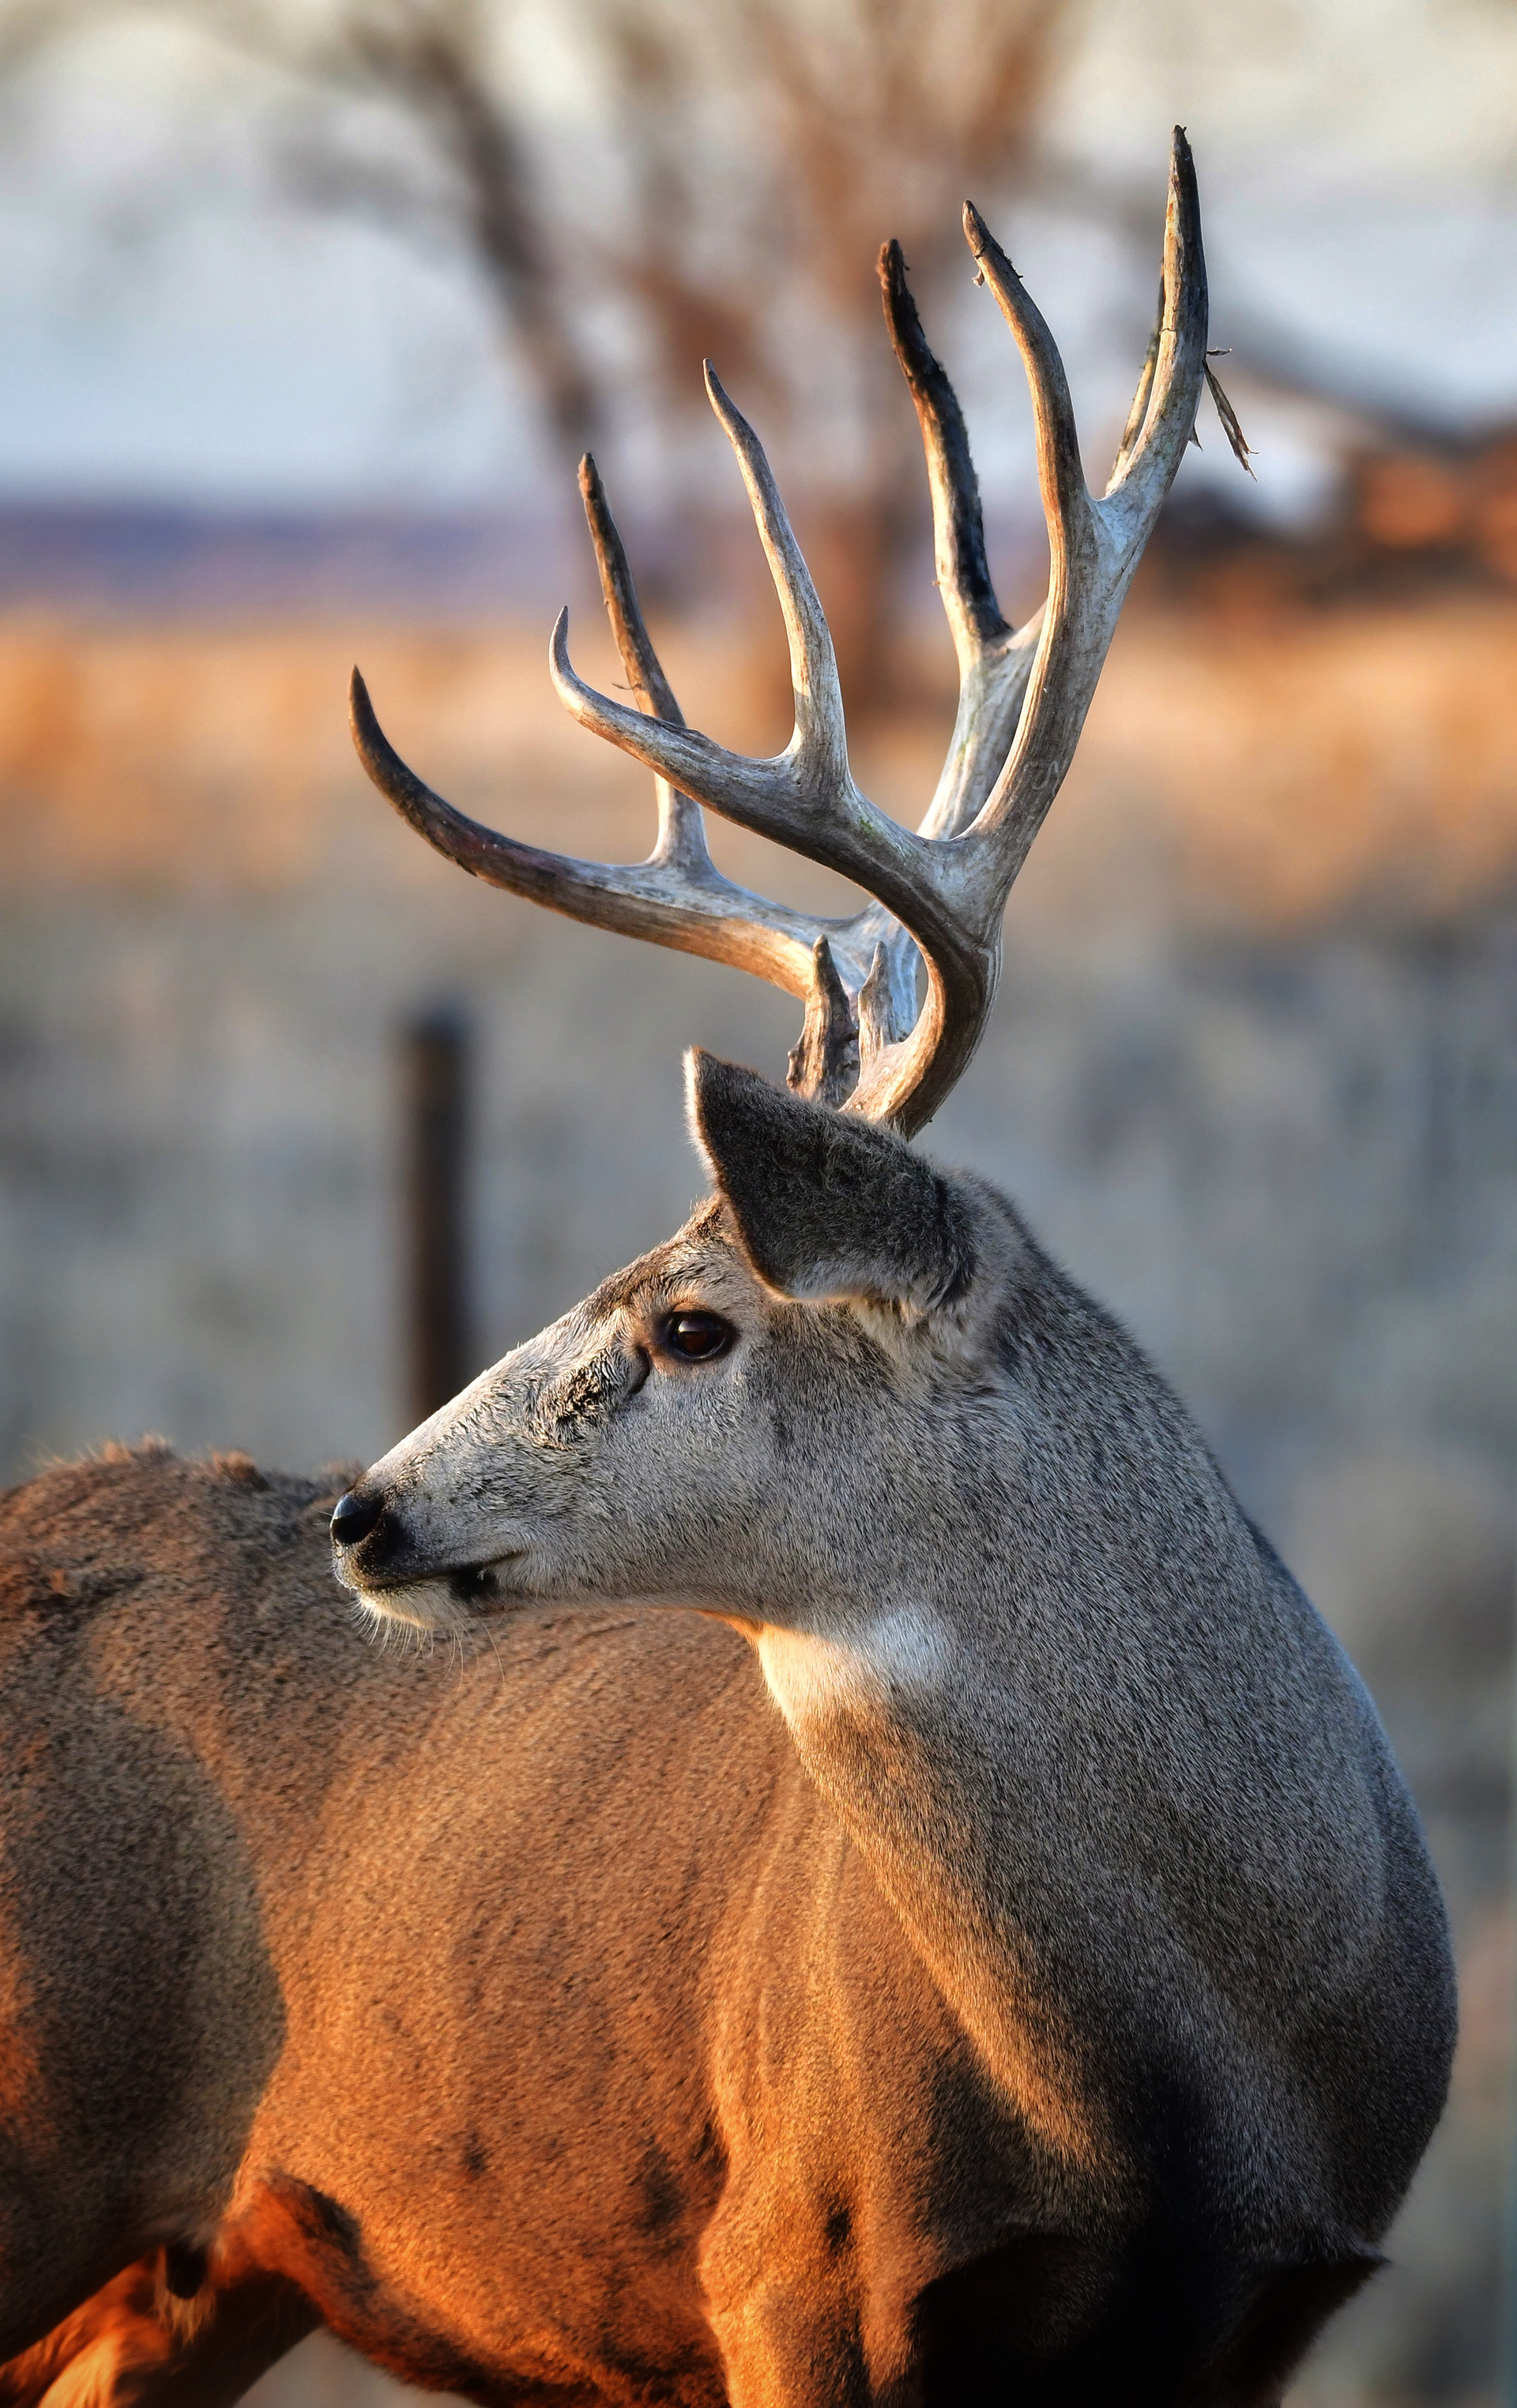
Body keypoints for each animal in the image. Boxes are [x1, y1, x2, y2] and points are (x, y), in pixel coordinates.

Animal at [0, 131, 1453, 2408]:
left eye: (691, 1317)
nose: (367, 1509)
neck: (1184, 2086)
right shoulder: (792, 2268)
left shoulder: (1271, 2309)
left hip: (206, 2262)